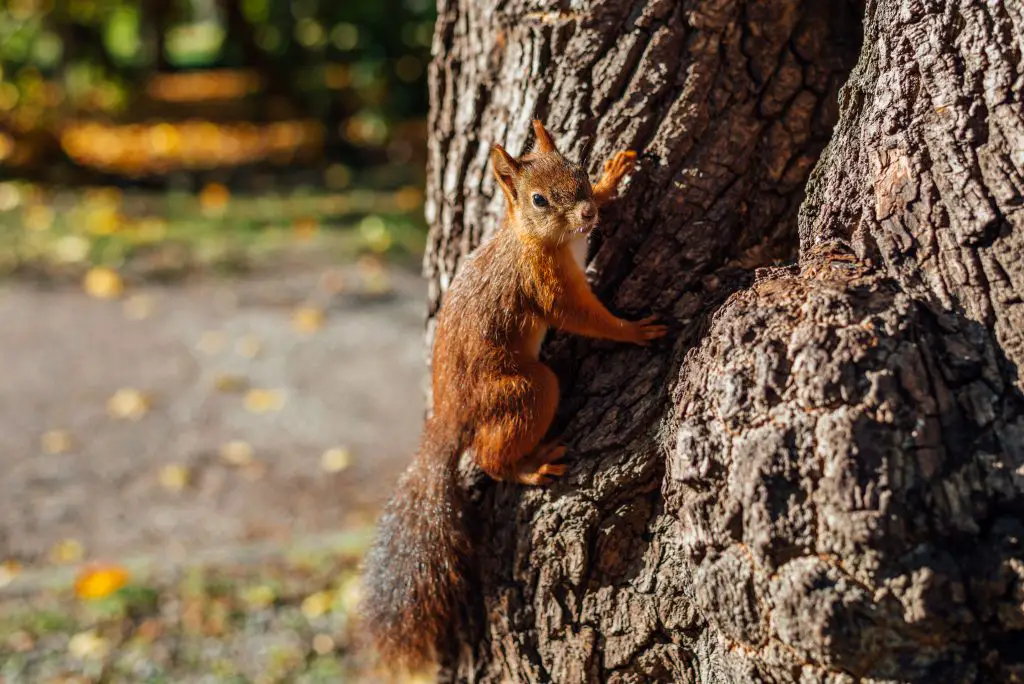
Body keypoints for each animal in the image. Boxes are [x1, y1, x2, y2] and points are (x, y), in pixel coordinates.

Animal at [364, 120, 667, 671]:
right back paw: (531, 465)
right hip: (525, 390)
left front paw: (612, 179)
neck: (538, 238)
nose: (587, 215)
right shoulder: (546, 286)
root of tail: (447, 417)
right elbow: (583, 318)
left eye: (578, 170)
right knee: (490, 454)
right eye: (538, 200)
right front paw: (633, 331)